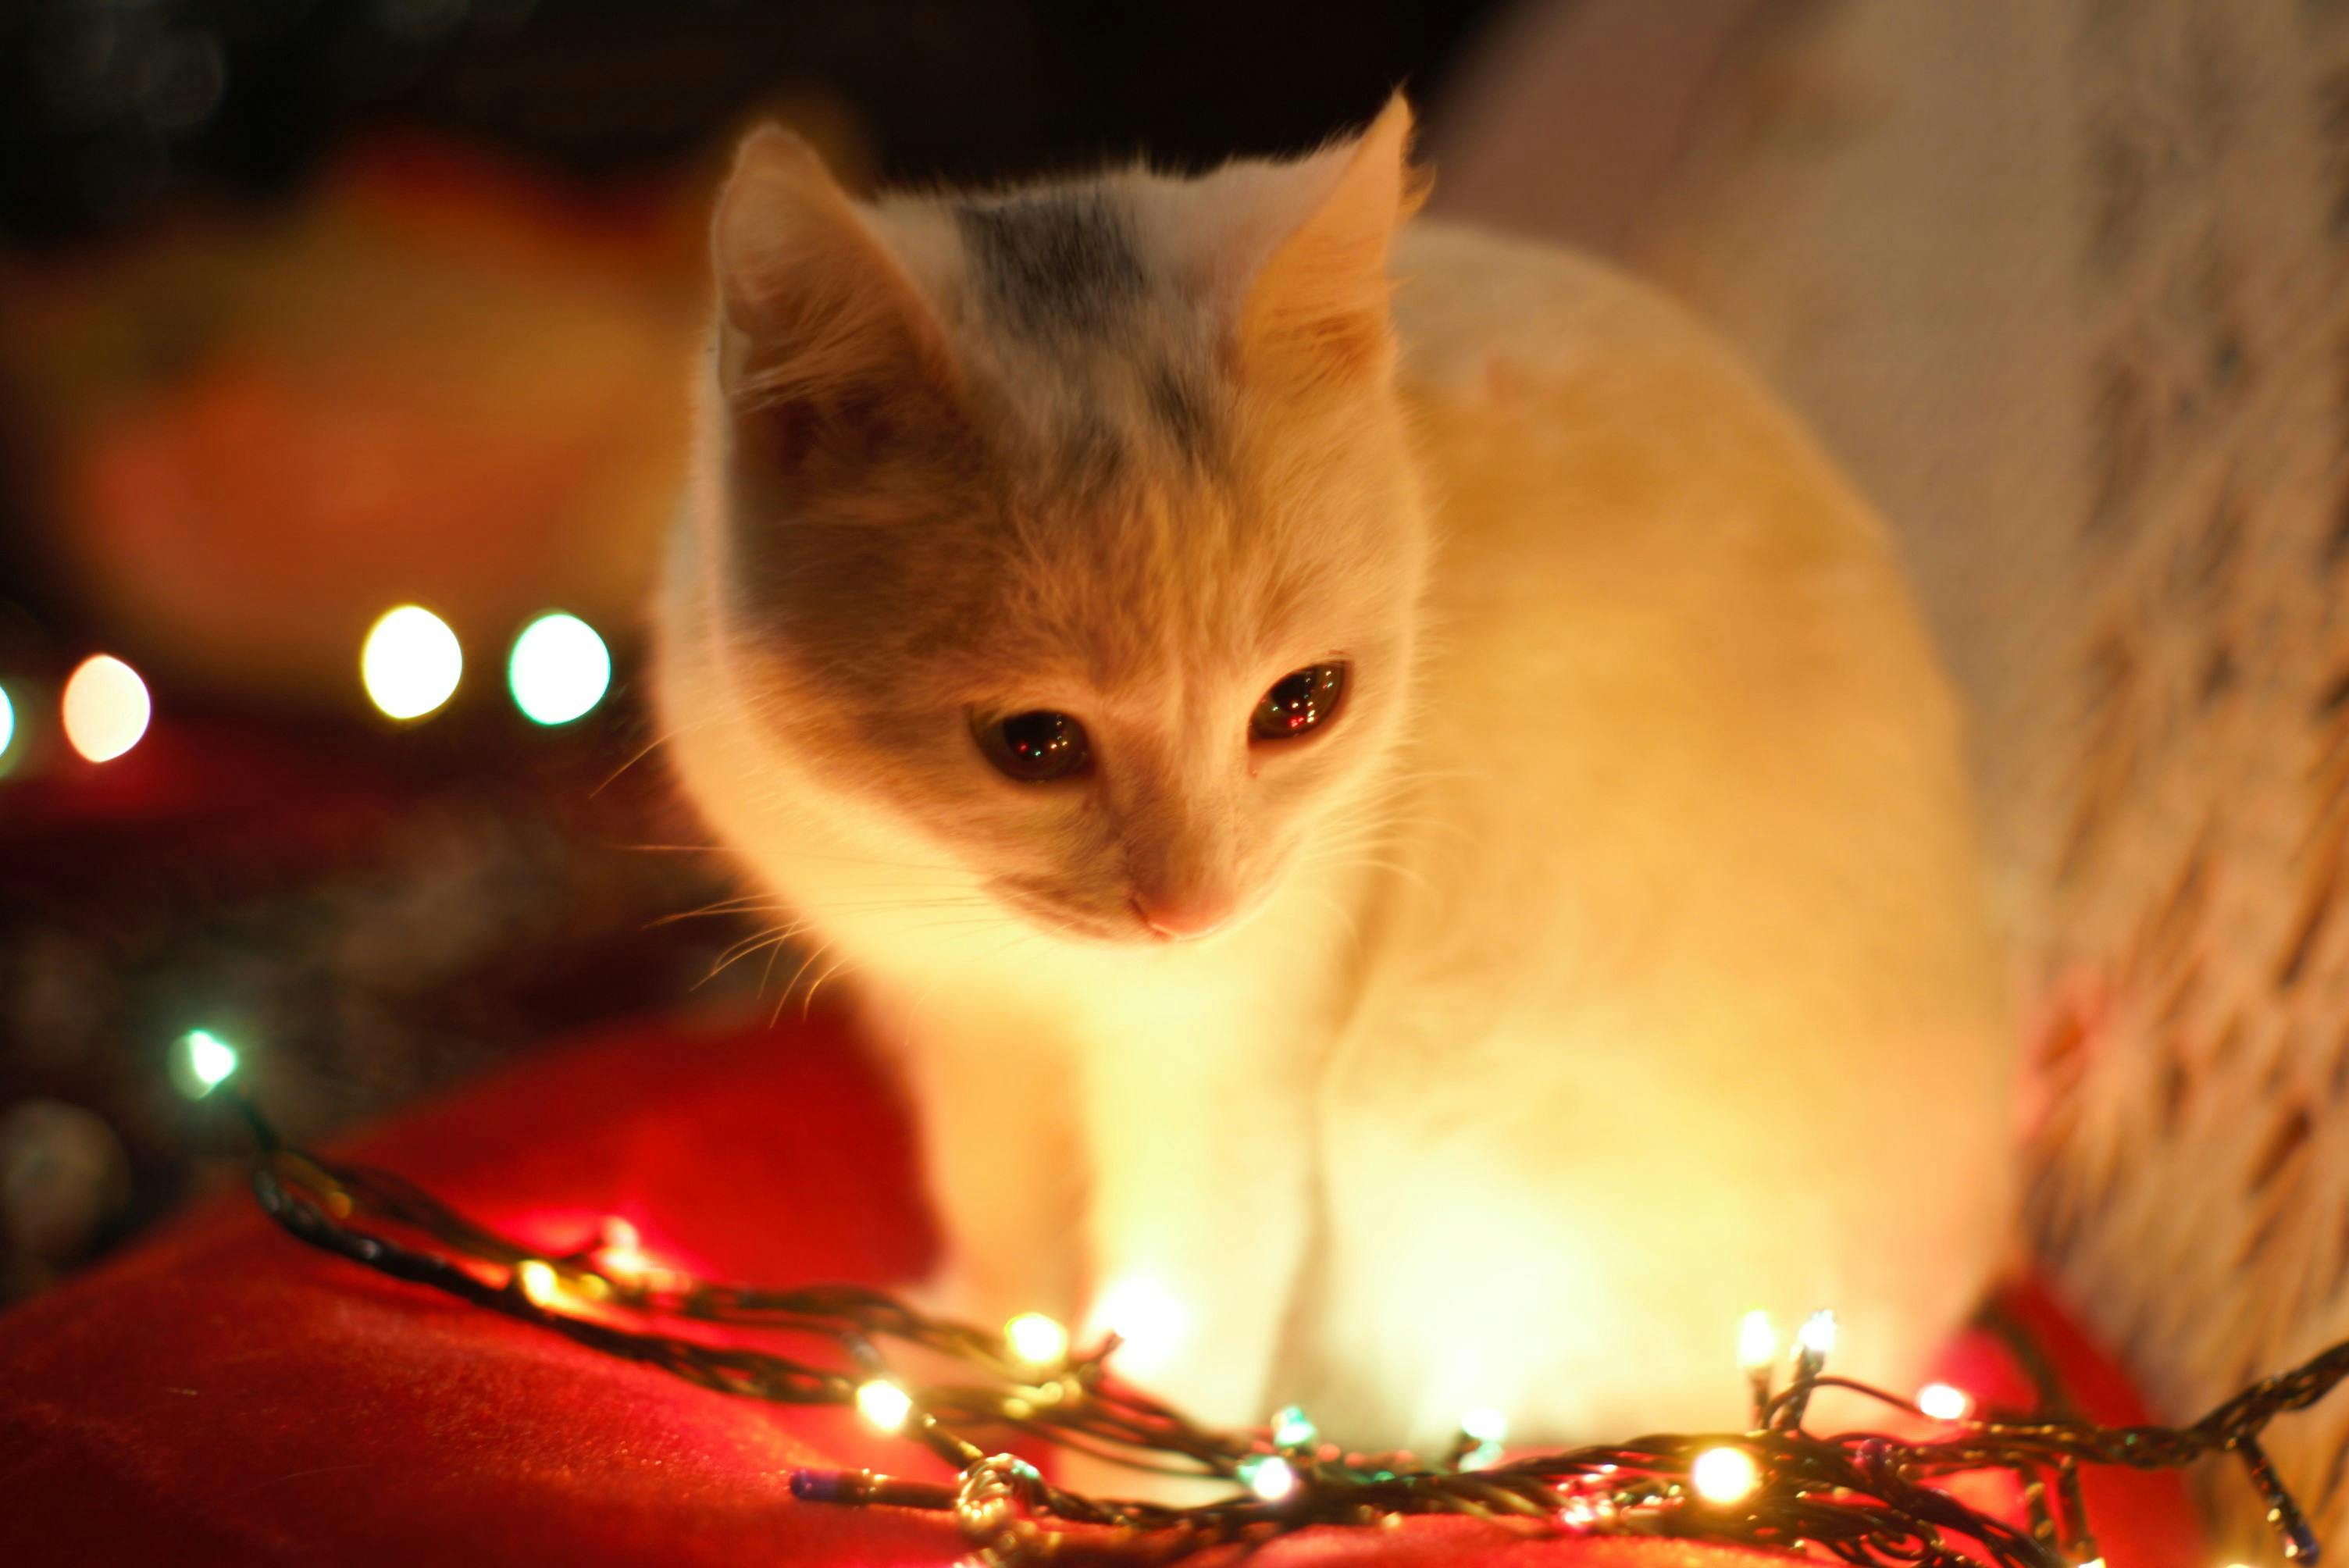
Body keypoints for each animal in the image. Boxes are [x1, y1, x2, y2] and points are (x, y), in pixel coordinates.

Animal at [662, 94, 2019, 1445]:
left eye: (1302, 705)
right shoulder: (964, 1032)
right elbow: (998, 1212)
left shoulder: (1230, 1048)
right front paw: (984, 1348)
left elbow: (1187, 1299)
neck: (1006, 952)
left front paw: (1130, 1450)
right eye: (1032, 743)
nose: (1190, 909)